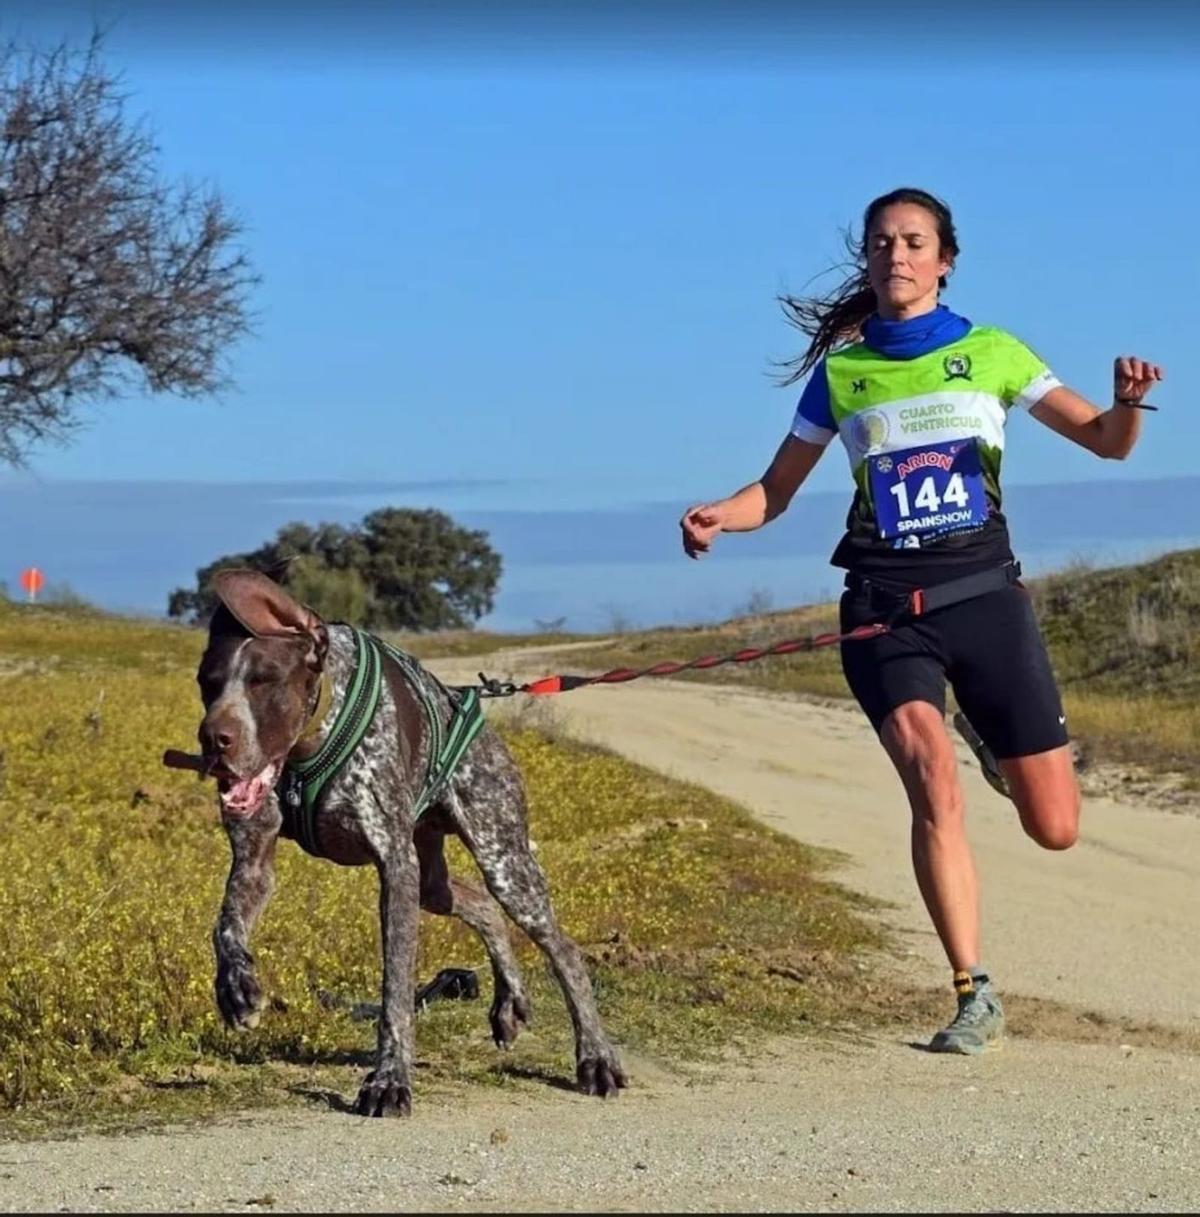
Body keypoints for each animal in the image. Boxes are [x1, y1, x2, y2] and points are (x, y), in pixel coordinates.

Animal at [194, 569, 627, 1114]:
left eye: (264, 680)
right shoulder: (254, 859)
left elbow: (396, 987)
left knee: (561, 949)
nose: (213, 741)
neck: (309, 743)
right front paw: (237, 989)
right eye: (207, 683)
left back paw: (596, 1057)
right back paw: (508, 1000)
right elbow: (225, 926)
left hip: (503, 860)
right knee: (482, 906)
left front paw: (388, 1078)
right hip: (434, 880)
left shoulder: (396, 866)